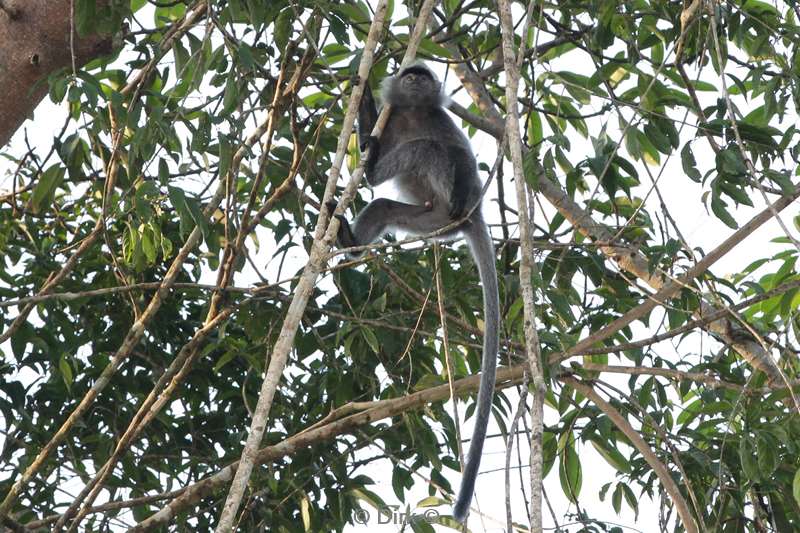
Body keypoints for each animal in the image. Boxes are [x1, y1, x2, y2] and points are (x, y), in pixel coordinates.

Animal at [328, 63, 496, 524]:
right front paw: (365, 96)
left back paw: (374, 175)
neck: (416, 113)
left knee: (433, 153)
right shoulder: (394, 120)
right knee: (384, 204)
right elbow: (382, 128)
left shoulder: (441, 121)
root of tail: (466, 219)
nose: (417, 79)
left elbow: (462, 156)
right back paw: (351, 239)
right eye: (410, 74)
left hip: (447, 213)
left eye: (423, 74)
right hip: (425, 221)